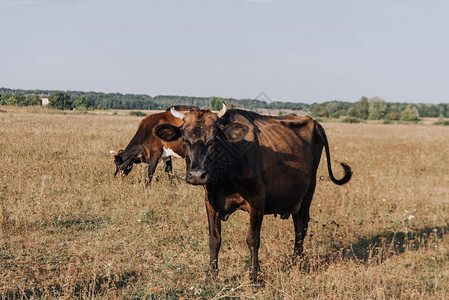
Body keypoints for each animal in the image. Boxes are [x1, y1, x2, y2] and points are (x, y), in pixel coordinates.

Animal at [154, 103, 350, 282]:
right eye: (184, 139)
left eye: (214, 140)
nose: (196, 175)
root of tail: (314, 123)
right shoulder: (210, 202)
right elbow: (214, 239)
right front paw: (211, 275)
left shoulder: (257, 201)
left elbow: (253, 239)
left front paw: (254, 275)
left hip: (309, 190)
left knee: (301, 225)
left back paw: (297, 261)